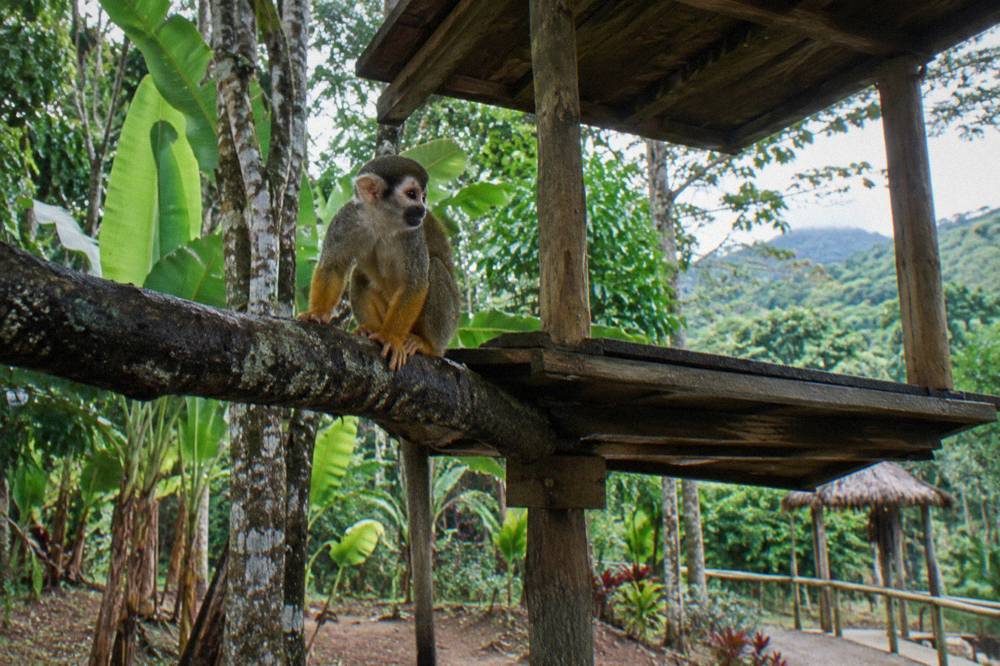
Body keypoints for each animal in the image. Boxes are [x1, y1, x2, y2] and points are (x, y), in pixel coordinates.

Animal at [299, 155, 460, 371]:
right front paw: (317, 313)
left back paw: (427, 345)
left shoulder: (412, 234)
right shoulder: (347, 218)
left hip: (449, 323)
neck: (382, 221)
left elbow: (414, 283)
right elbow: (334, 265)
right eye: (412, 194)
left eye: (423, 197)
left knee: (434, 267)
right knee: (359, 274)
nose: (422, 210)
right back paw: (370, 329)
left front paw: (390, 338)